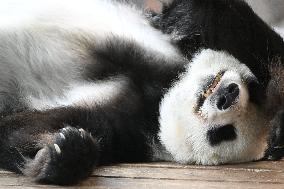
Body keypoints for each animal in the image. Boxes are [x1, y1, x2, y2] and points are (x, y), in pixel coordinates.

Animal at [0, 0, 280, 186]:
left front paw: (65, 151)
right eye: (254, 90)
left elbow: (20, 130)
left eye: (223, 133)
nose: (227, 97)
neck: (160, 97)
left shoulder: (122, 128)